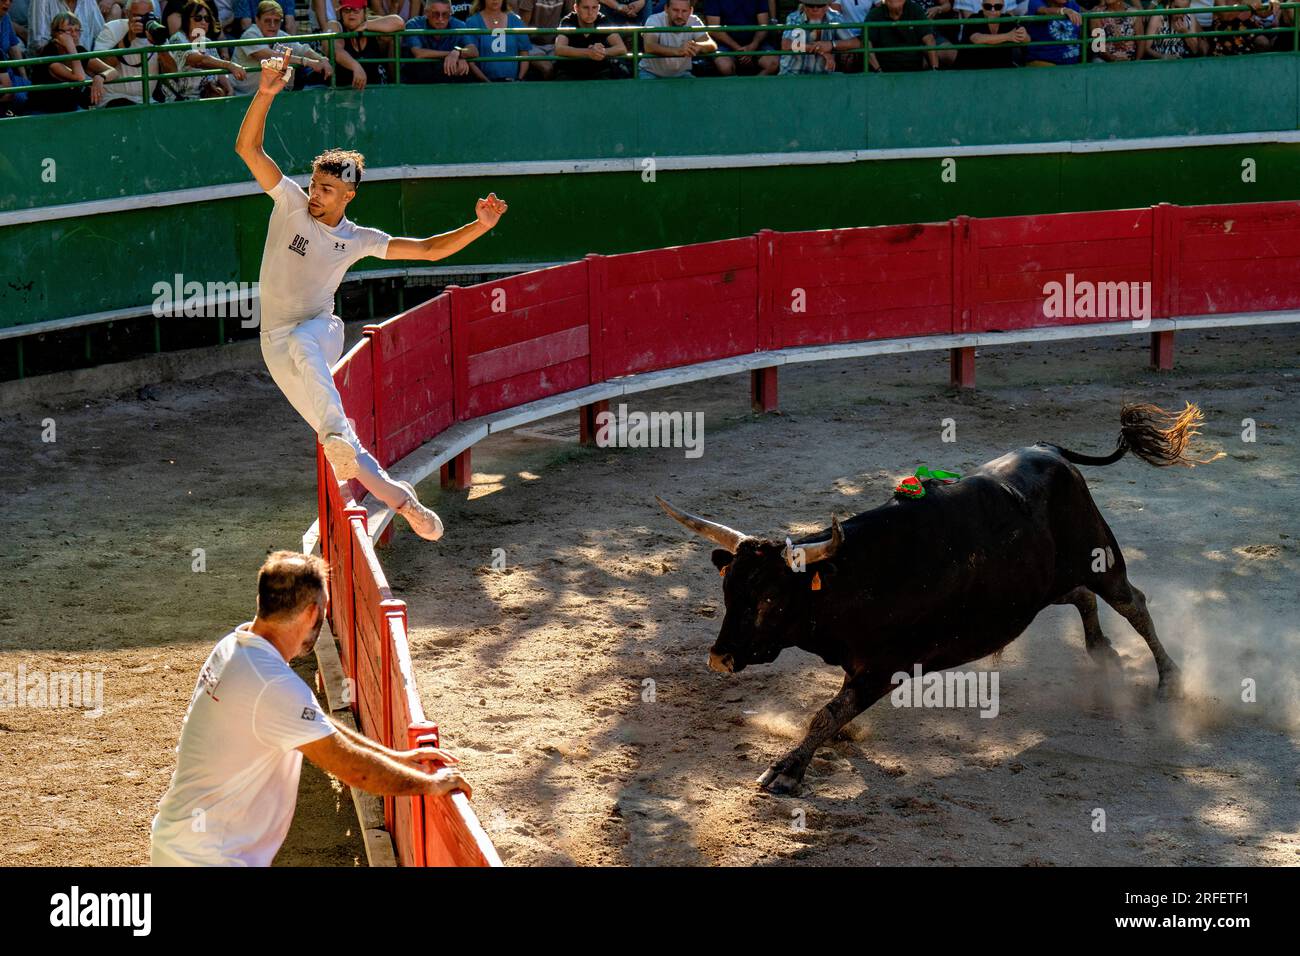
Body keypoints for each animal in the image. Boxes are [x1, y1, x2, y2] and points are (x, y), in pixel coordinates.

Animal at [660, 403, 1216, 790]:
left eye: (770, 599)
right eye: (729, 591)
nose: (719, 658)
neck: (853, 577)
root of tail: (1051, 452)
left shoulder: (883, 669)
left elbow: (827, 712)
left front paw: (787, 771)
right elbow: (833, 711)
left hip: (1101, 554)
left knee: (1132, 601)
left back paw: (1169, 681)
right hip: (1039, 587)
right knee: (1083, 597)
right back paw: (1103, 656)